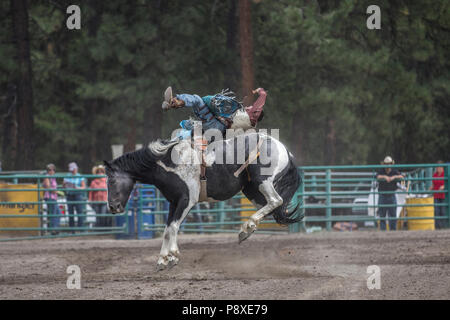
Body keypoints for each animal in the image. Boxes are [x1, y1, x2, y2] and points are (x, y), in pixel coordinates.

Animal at [103, 131, 304, 268]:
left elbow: (173, 228)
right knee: (271, 207)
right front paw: (163, 259)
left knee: (275, 201)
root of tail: (284, 148)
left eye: (111, 180)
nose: (113, 207)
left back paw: (246, 228)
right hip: (251, 190)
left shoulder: (187, 200)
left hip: (262, 181)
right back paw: (248, 230)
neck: (169, 162)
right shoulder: (173, 202)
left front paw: (172, 256)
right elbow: (168, 228)